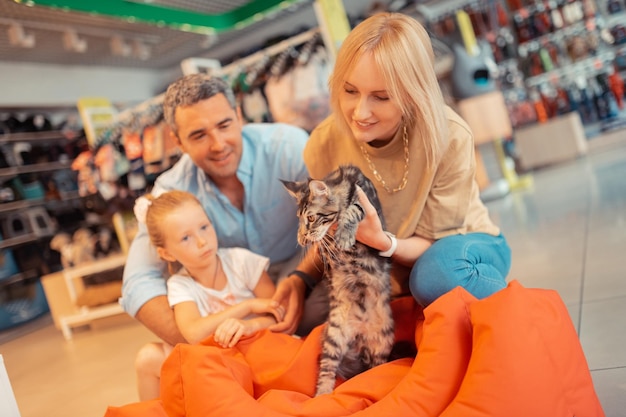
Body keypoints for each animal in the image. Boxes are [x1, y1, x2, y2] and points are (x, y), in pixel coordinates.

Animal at [282, 163, 392, 396]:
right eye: (300, 218)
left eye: (311, 217)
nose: (304, 235)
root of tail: (359, 331)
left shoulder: (370, 207)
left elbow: (353, 209)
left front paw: (343, 234)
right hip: (334, 336)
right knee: (327, 370)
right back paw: (322, 395)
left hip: (383, 342)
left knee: (376, 368)